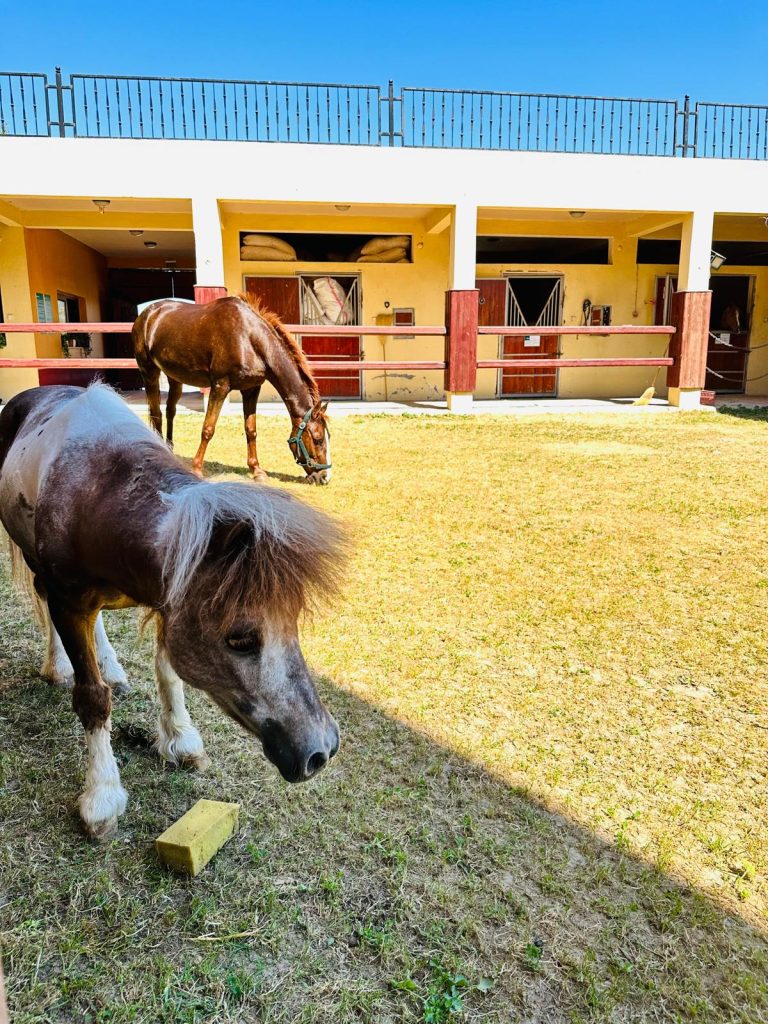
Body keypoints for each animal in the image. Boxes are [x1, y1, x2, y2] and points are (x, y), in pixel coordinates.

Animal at [0, 385, 344, 839]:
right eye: (240, 639)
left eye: (294, 624)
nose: (321, 751)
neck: (97, 497)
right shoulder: (68, 601)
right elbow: (92, 698)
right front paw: (102, 796)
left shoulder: (170, 601)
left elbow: (168, 673)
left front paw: (181, 738)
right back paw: (58, 665)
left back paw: (111, 666)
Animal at [132, 294, 331, 485]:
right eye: (318, 439)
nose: (324, 477)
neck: (249, 338)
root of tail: (147, 314)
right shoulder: (220, 386)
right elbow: (208, 429)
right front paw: (196, 469)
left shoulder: (251, 389)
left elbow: (251, 430)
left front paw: (257, 471)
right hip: (149, 372)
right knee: (156, 414)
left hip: (175, 378)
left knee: (170, 411)